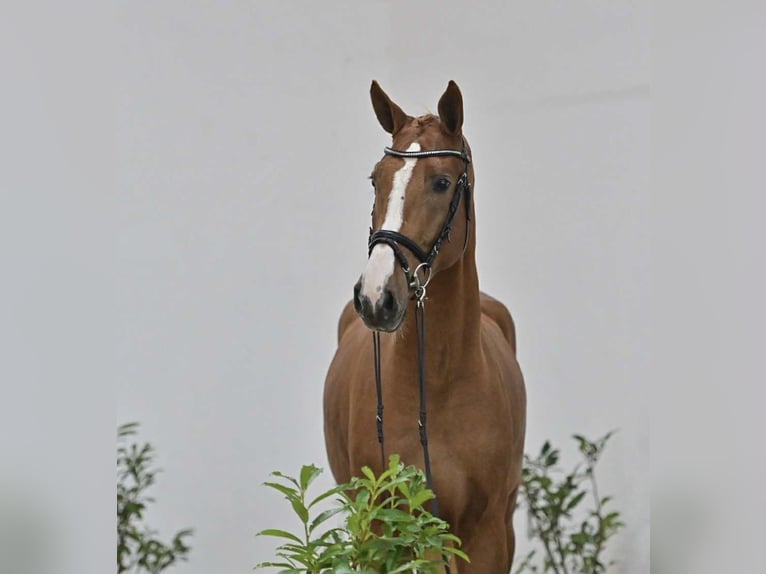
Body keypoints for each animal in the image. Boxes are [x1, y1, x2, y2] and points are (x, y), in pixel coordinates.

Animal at [323, 80, 527, 573]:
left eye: (442, 182)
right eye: (376, 179)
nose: (375, 296)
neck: (439, 382)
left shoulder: (485, 533)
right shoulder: (391, 529)